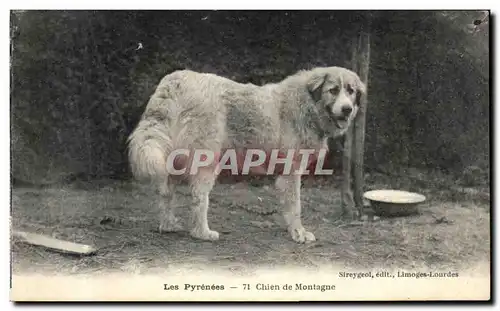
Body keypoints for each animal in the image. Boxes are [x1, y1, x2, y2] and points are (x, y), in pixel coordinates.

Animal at [127, 67, 366, 245]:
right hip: (206, 161)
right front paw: (298, 233)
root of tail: (174, 81)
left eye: (351, 91)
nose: (347, 109)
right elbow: (295, 206)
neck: (306, 104)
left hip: (174, 160)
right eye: (333, 90)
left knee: (166, 192)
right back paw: (202, 233)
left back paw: (168, 225)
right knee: (198, 197)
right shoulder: (291, 172)